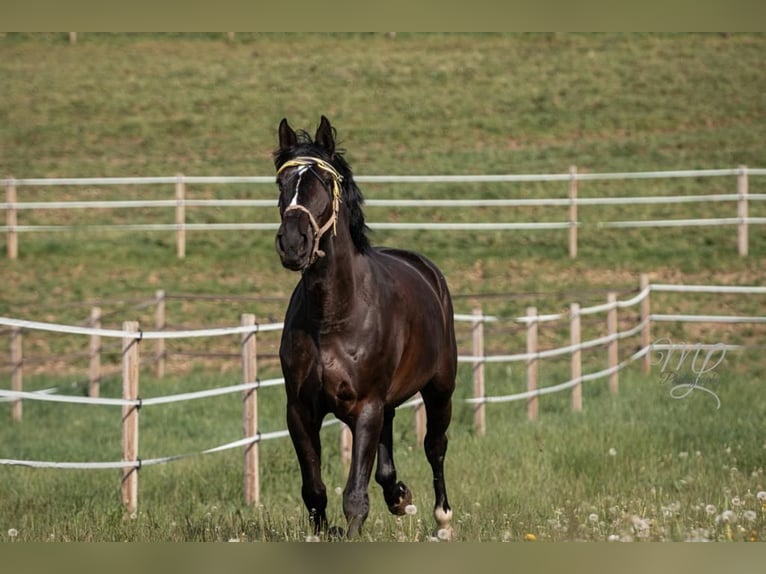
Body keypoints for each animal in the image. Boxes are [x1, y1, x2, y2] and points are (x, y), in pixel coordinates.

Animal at [274, 117, 456, 540]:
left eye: (323, 182)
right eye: (281, 183)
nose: (293, 243)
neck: (333, 317)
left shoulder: (366, 405)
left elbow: (355, 496)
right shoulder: (300, 410)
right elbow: (314, 489)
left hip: (440, 387)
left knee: (435, 446)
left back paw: (442, 519)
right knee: (388, 459)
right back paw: (400, 497)